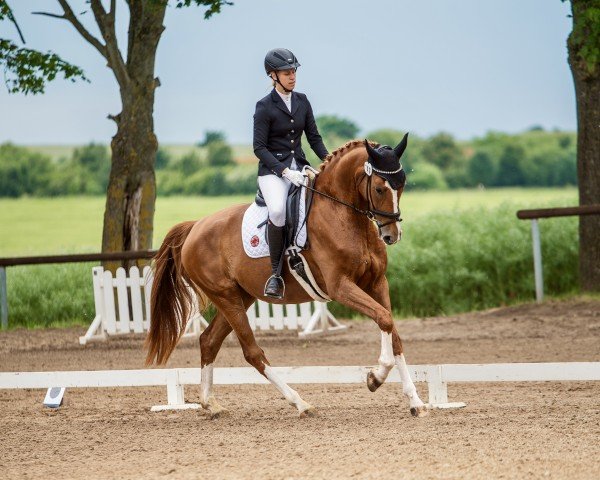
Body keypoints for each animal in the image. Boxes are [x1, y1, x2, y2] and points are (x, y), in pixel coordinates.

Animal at [145, 137, 426, 418]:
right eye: (379, 189)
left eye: (401, 185)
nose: (391, 235)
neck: (341, 213)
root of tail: (195, 226)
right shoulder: (340, 287)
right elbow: (384, 318)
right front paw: (375, 377)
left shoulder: (377, 282)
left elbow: (392, 329)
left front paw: (415, 402)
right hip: (225, 297)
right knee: (251, 351)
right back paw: (300, 403)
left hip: (240, 296)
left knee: (209, 341)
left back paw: (210, 403)